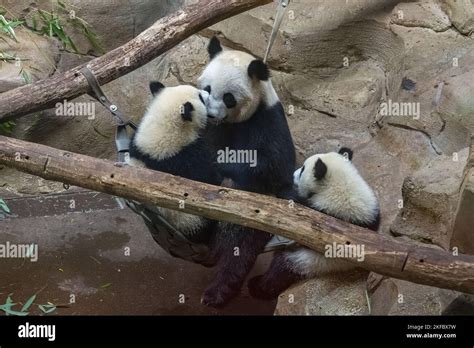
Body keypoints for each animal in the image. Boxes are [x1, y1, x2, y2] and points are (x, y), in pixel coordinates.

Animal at [128, 81, 220, 250]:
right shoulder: (186, 158)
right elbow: (209, 179)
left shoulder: (136, 145)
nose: (208, 91)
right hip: (192, 221)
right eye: (200, 98)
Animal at [196, 36, 296, 306]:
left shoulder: (267, 122)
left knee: (238, 245)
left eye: (228, 97)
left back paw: (217, 292)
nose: (211, 114)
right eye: (207, 89)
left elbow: (270, 166)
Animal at [248, 147, 382, 300]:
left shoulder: (327, 213)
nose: (293, 175)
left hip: (309, 262)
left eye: (302, 170)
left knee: (281, 270)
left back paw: (257, 286)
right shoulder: (372, 214)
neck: (341, 184)